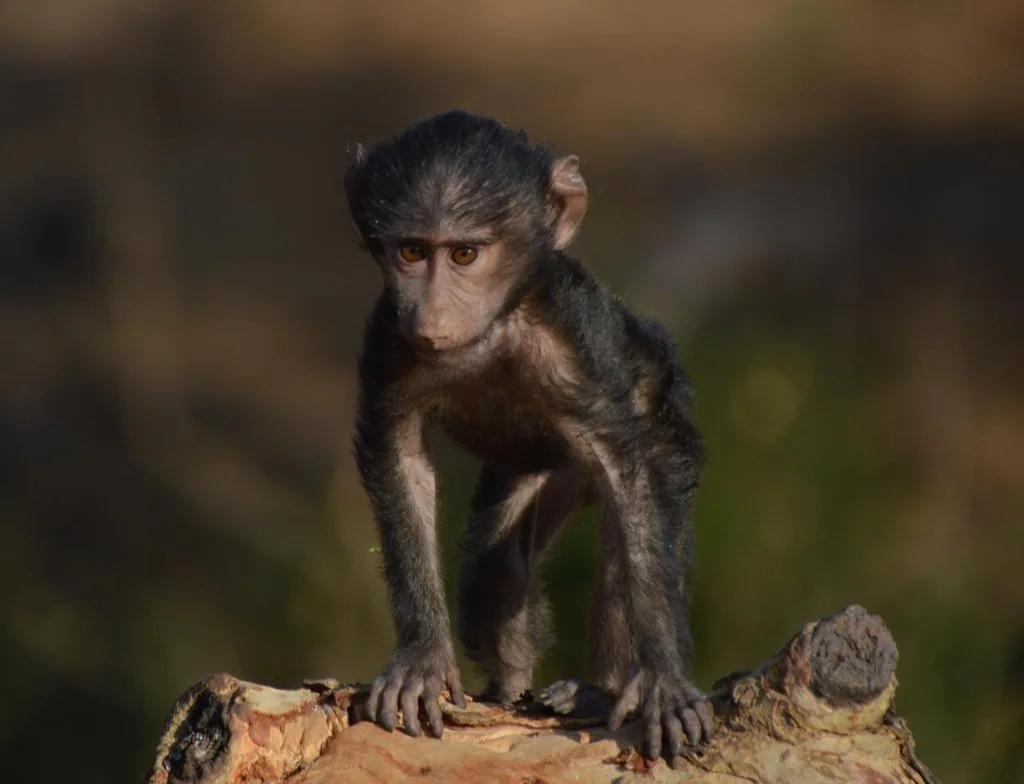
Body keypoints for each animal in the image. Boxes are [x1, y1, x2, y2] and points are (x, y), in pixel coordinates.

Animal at [344, 110, 713, 764]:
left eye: (465, 253)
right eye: (411, 251)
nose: (431, 317)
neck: (494, 327)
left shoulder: (574, 341)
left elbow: (626, 472)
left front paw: (665, 682)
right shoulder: (389, 339)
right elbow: (400, 454)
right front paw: (422, 661)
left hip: (668, 429)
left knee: (636, 511)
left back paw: (602, 689)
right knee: (494, 579)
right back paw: (509, 691)